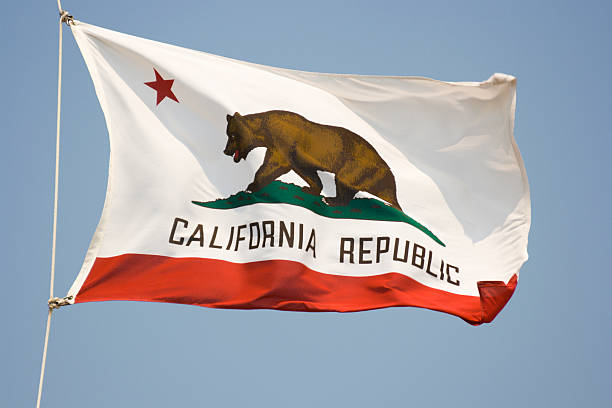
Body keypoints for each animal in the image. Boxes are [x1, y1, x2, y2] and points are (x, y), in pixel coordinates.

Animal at [225, 110, 402, 210]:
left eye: (232, 136)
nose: (225, 151)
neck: (265, 130)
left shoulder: (283, 142)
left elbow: (275, 165)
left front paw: (251, 186)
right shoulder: (293, 154)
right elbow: (305, 171)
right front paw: (310, 188)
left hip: (356, 166)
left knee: (344, 181)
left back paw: (331, 200)